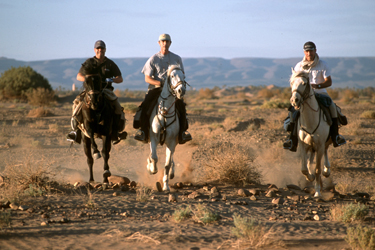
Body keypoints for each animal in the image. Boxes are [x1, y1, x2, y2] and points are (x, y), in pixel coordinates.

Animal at [290, 68, 332, 197]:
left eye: (304, 83)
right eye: (291, 83)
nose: (294, 100)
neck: (310, 121)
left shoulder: (320, 145)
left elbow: (317, 169)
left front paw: (317, 191)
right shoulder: (303, 145)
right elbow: (304, 168)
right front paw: (310, 177)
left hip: (324, 143)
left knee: (326, 151)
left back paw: (327, 170)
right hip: (311, 146)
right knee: (310, 161)